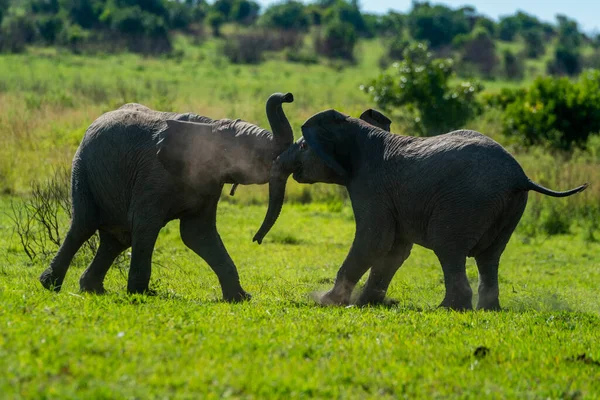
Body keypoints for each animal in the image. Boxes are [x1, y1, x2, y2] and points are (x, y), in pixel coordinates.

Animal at [37, 92, 296, 302]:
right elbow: (146, 224)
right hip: (83, 170)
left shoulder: (209, 182)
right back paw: (50, 285)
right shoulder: (153, 176)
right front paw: (141, 294)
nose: (288, 96)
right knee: (84, 225)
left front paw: (241, 298)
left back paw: (92, 289)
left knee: (117, 239)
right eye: (249, 152)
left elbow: (198, 234)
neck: (210, 126)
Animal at [255, 108, 588, 310]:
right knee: (489, 257)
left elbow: (374, 241)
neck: (361, 131)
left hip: (466, 203)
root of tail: (520, 176)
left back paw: (448, 309)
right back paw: (487, 309)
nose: (256, 241)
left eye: (302, 146)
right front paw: (366, 303)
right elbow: (394, 250)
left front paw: (328, 301)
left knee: (449, 248)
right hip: (508, 209)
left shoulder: (370, 185)